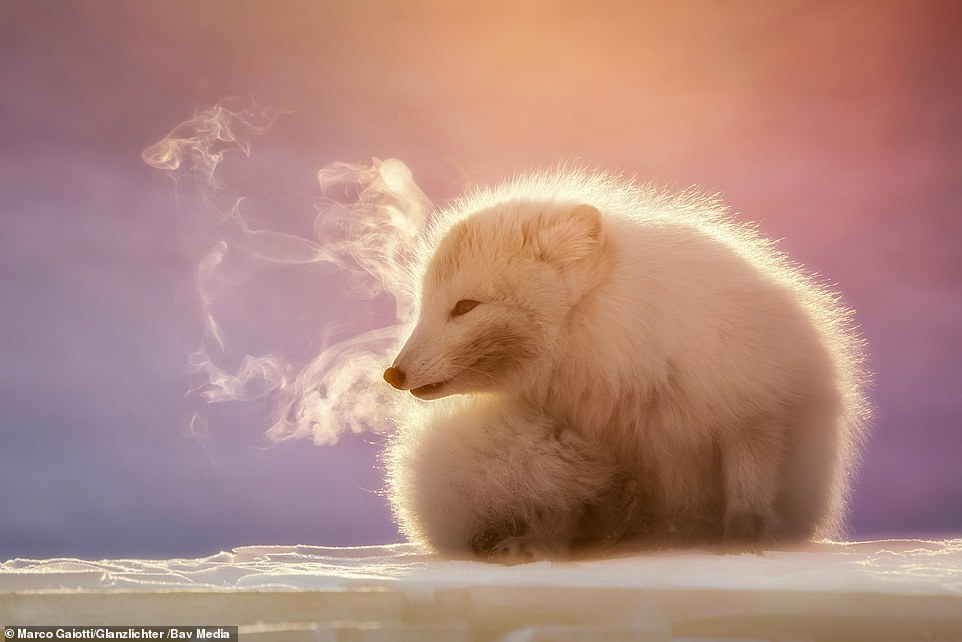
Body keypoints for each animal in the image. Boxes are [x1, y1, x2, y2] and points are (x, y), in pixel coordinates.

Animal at [382, 169, 870, 561]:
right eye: (424, 304)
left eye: (465, 307)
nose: (392, 374)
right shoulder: (583, 436)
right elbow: (562, 510)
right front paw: (543, 544)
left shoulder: (755, 408)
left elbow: (748, 491)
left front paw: (742, 543)